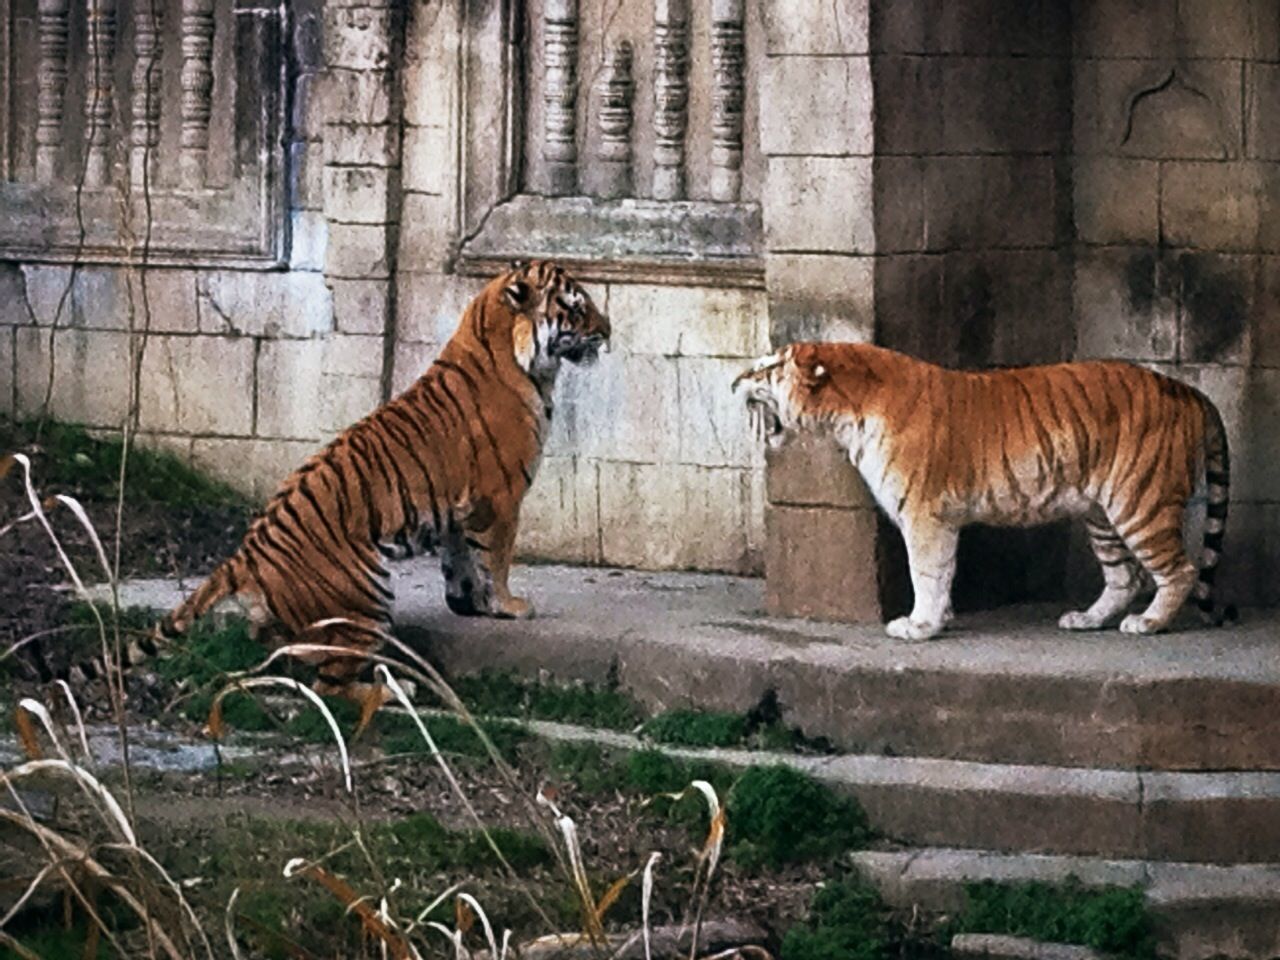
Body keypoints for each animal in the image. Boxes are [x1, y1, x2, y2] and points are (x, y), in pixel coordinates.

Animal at [146, 259, 609, 727]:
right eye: (575, 306)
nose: (608, 331)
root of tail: (246, 553)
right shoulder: (500, 498)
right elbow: (495, 560)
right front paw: (509, 605)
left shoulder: (460, 509)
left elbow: (460, 559)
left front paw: (467, 602)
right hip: (366, 599)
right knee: (327, 685)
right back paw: (395, 689)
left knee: (287, 649)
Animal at [737, 343, 1233, 642]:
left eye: (769, 367)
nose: (733, 379)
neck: (844, 416)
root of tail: (1188, 389)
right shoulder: (938, 519)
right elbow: (941, 573)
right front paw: (940, 619)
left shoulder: (924, 515)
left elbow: (926, 572)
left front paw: (919, 626)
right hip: (1101, 513)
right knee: (1125, 575)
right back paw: (1087, 619)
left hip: (1140, 503)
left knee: (1181, 570)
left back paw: (1148, 622)